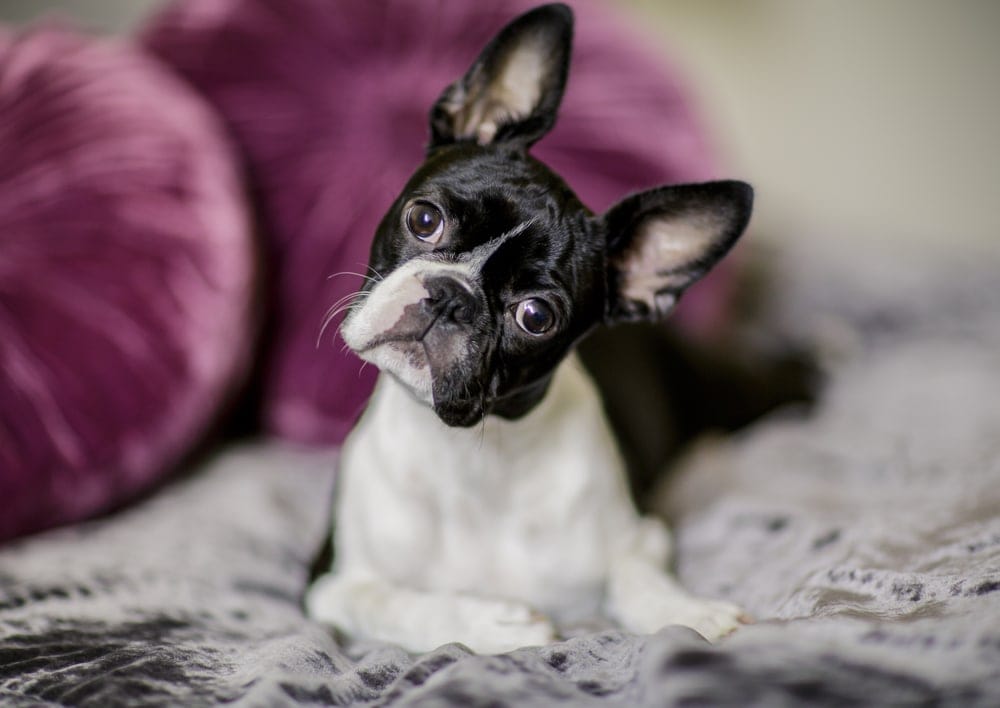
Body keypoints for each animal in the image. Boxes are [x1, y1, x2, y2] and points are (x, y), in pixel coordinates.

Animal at [304, 4, 752, 652]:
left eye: (536, 316)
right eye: (424, 219)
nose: (451, 297)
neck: (470, 459)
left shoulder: (644, 534)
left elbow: (635, 575)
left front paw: (688, 611)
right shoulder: (327, 582)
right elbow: (389, 600)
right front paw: (487, 622)